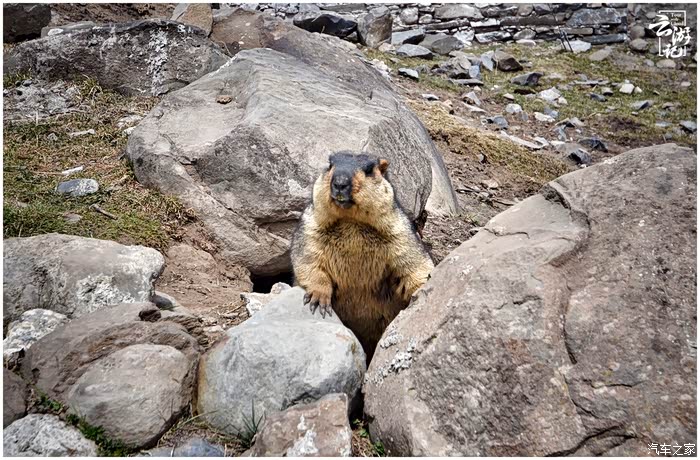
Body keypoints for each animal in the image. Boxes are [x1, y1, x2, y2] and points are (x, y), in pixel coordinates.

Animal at [290, 151, 434, 359]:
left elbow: (415, 265)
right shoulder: (309, 228)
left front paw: (426, 287)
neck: (351, 221)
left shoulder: (402, 233)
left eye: (369, 170)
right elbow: (307, 259)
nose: (340, 182)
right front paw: (318, 297)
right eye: (330, 164)